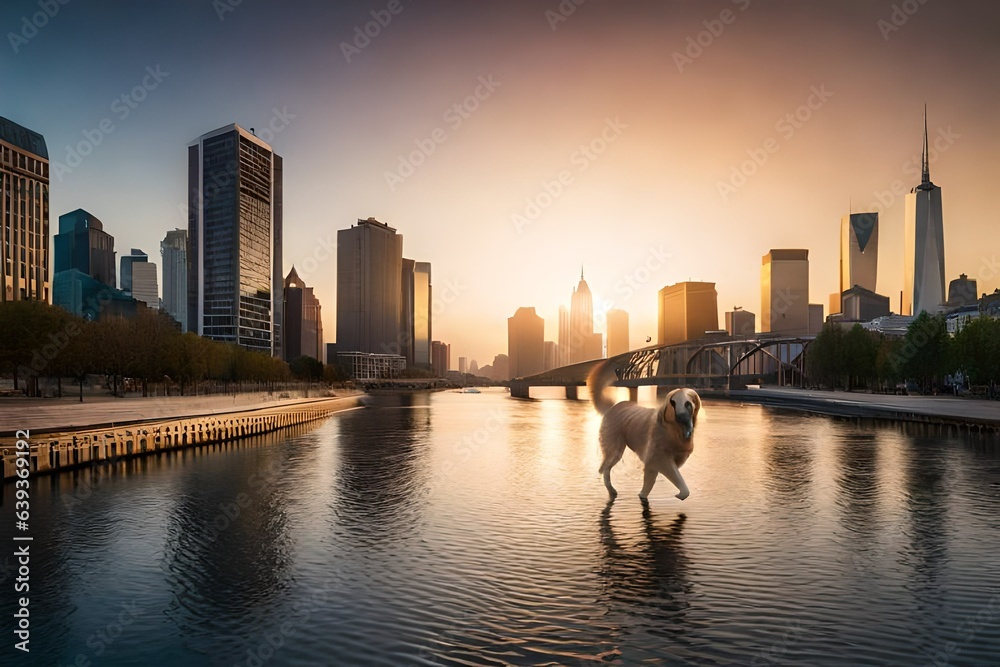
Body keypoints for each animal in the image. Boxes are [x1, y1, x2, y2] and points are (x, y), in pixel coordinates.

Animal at [584, 360, 704, 500]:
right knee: (605, 470)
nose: (681, 417)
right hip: (615, 450)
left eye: (688, 404)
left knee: (603, 469)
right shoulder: (658, 460)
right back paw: (612, 490)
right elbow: (677, 485)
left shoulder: (666, 461)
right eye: (672, 403)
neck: (674, 431)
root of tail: (613, 407)